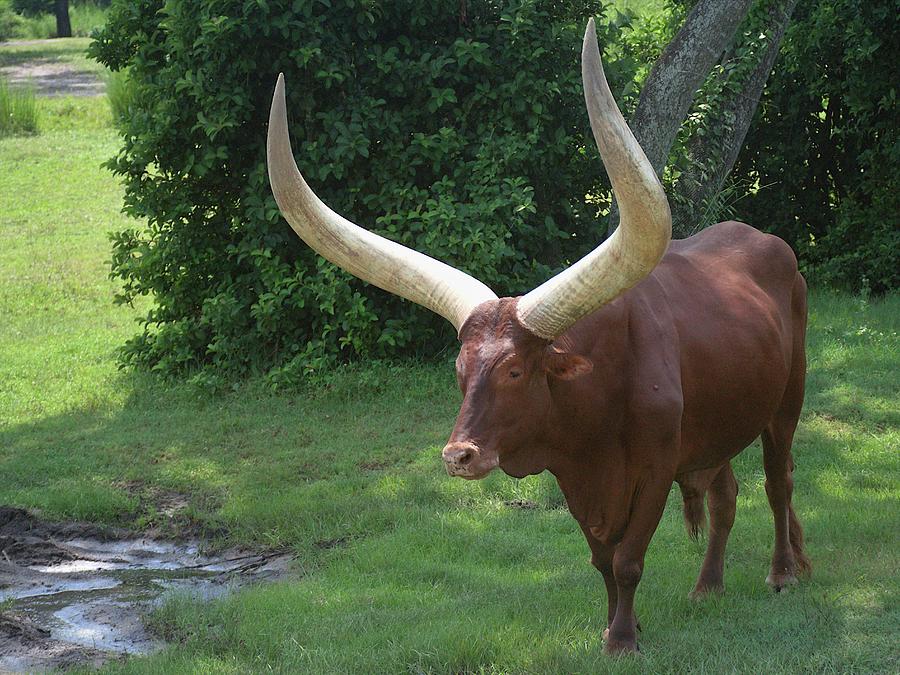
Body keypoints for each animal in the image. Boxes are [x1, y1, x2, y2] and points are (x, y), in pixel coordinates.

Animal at [266, 19, 808, 656]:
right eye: (459, 371)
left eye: (516, 370)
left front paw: (623, 639)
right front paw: (615, 624)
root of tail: (770, 243)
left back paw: (782, 573)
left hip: (786, 404)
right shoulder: (579, 480)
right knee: (724, 496)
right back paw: (708, 587)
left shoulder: (654, 469)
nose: (459, 456)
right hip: (717, 424)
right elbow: (603, 561)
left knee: (778, 482)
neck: (597, 399)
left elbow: (628, 560)